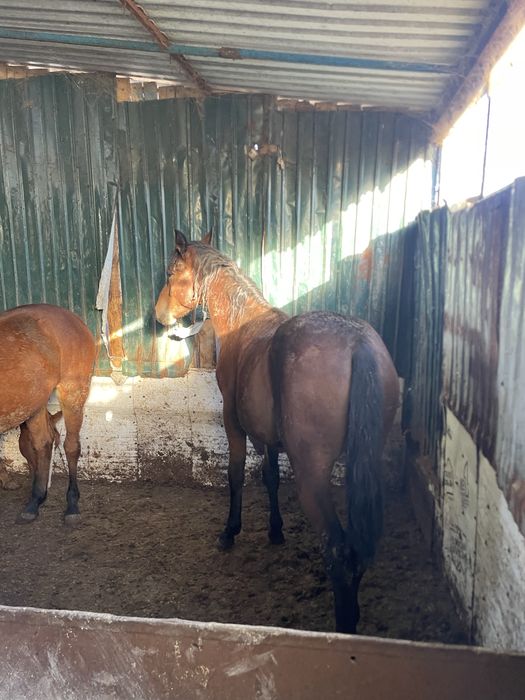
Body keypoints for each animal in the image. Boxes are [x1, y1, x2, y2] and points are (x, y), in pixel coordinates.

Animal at [0, 304, 96, 524]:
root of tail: (72, 317)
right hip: (35, 402)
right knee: (43, 441)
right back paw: (35, 501)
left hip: (73, 391)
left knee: (71, 446)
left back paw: (72, 505)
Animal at [155, 231, 399, 633]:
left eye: (171, 273)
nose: (158, 316)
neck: (244, 321)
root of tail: (358, 343)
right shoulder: (268, 437)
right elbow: (270, 477)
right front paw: (275, 531)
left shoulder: (233, 422)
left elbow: (236, 474)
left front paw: (230, 531)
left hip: (312, 475)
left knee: (339, 550)